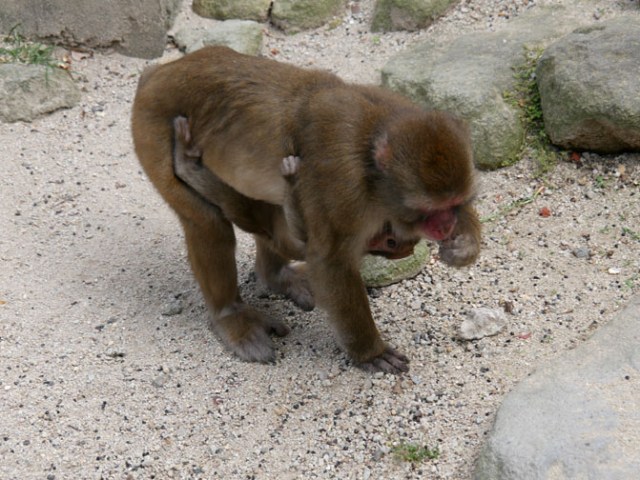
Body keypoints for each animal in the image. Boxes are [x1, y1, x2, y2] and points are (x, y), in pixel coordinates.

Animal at [132, 46, 481, 373]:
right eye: (431, 209)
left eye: (455, 204)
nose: (446, 226)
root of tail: (161, 73)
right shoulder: (341, 183)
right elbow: (331, 262)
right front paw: (370, 351)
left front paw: (464, 246)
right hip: (151, 127)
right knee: (207, 224)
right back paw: (229, 313)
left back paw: (274, 276)